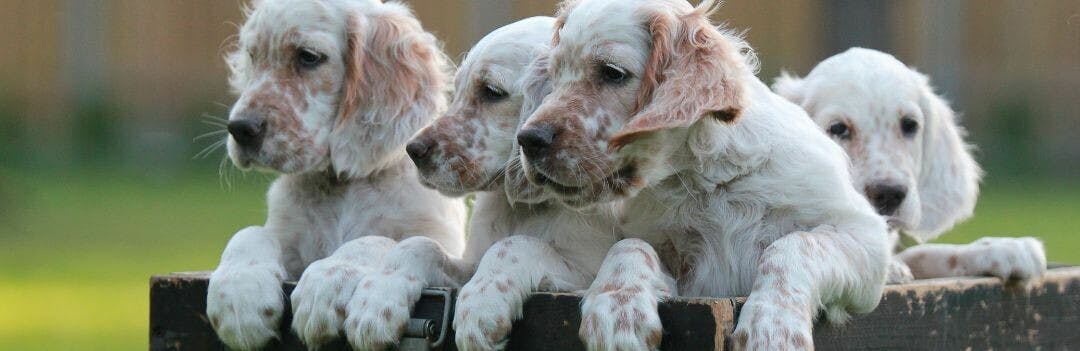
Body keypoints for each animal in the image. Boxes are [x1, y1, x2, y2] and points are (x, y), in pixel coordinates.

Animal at [204, 1, 466, 347]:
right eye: (253, 56)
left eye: (308, 57)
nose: (240, 128)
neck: (340, 187)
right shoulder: (289, 244)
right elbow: (250, 232)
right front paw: (240, 293)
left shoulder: (442, 240)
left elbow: (376, 239)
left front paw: (327, 282)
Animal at [518, 0, 889, 347]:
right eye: (555, 75)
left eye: (612, 72)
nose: (528, 140)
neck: (706, 177)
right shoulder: (684, 280)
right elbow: (631, 245)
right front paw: (617, 312)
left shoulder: (864, 236)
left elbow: (793, 245)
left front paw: (771, 330)